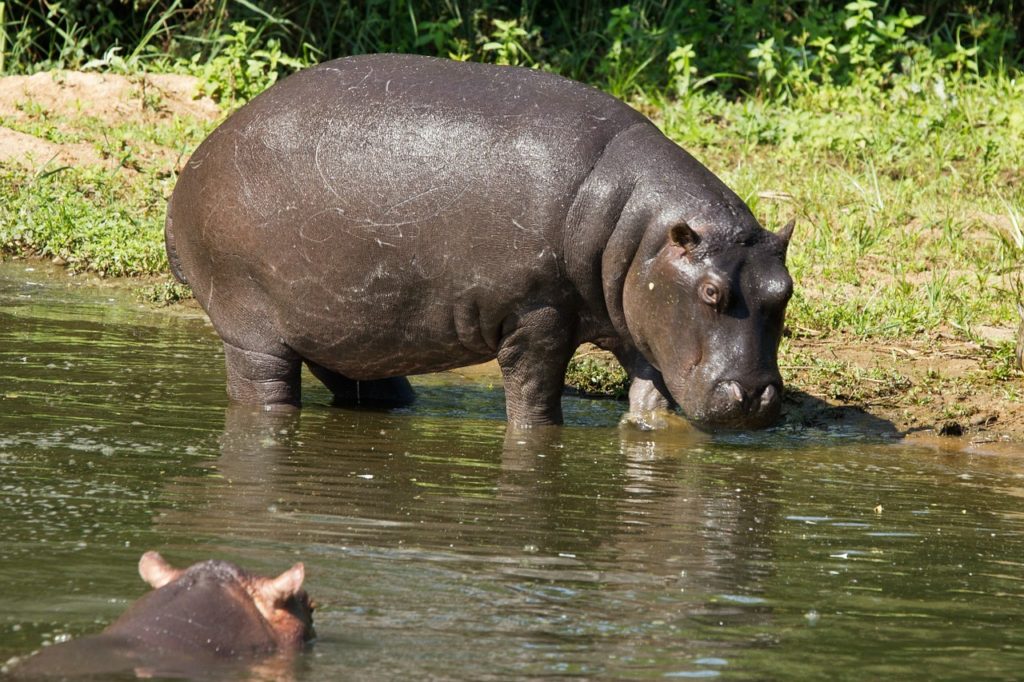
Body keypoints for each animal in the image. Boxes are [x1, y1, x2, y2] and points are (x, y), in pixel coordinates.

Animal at [165, 53, 790, 428]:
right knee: (263, 390)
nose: (757, 396)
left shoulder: (638, 318)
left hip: (339, 329)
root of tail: (190, 170)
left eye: (784, 291)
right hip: (252, 330)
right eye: (711, 292)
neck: (640, 229)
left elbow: (650, 395)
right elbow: (536, 396)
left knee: (361, 382)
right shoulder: (536, 315)